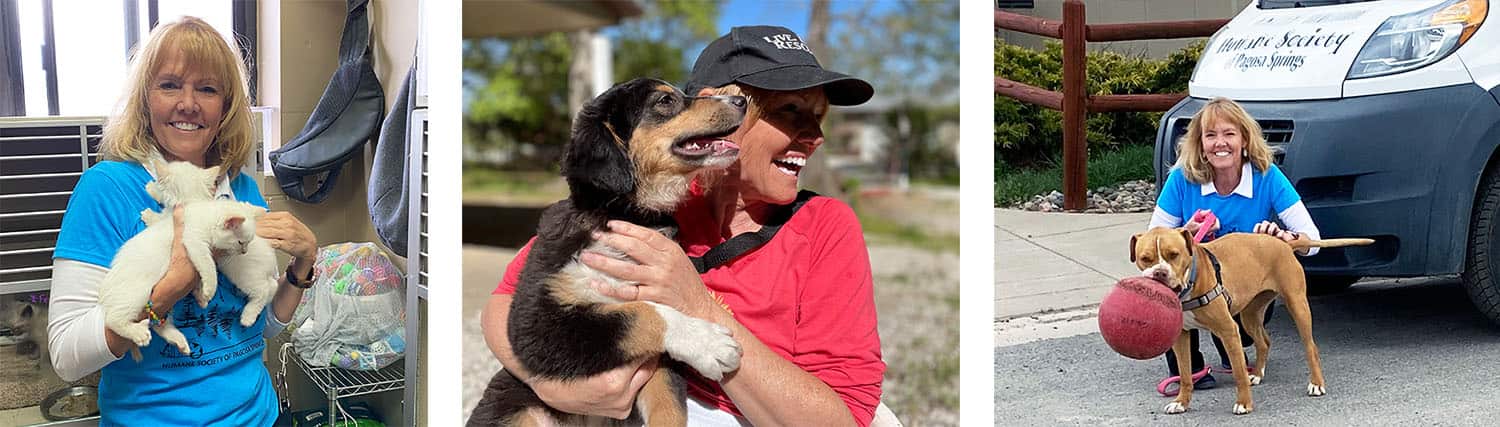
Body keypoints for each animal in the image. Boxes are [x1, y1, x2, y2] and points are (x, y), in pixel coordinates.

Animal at [99, 197, 265, 358]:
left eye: (248, 243)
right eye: (241, 242)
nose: (244, 251)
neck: (205, 216)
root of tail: (104, 291)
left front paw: (200, 295)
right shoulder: (194, 242)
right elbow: (208, 266)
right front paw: (209, 289)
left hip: (163, 302)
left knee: (160, 324)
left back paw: (179, 341)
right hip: (137, 294)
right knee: (112, 319)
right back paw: (138, 333)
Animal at [465, 78, 747, 422]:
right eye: (665, 101)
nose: (741, 101)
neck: (628, 216)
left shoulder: (662, 361)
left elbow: (669, 408)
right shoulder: (535, 324)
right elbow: (638, 314)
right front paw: (709, 343)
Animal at [1128, 227, 1374, 413]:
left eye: (1174, 254)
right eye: (1145, 259)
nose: (1160, 273)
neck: (1190, 283)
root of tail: (1283, 243)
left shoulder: (1228, 331)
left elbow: (1237, 371)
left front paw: (1244, 404)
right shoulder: (1181, 337)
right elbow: (1186, 372)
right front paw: (1181, 402)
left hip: (1297, 305)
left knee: (1310, 347)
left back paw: (1316, 384)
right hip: (1249, 315)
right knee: (1264, 342)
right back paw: (1256, 374)